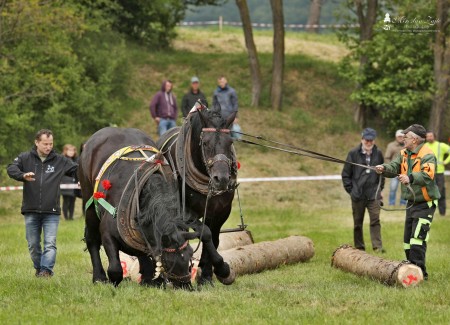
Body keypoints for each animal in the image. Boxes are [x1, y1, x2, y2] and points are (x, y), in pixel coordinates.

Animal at [79, 128, 200, 288]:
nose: (186, 286)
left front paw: (150, 279)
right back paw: (99, 277)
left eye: (190, 255)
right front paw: (112, 281)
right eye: (169, 262)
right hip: (89, 203)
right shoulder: (107, 233)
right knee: (92, 238)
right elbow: (115, 268)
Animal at [156, 103, 237, 284]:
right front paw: (222, 268)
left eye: (230, 142)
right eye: (205, 143)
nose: (222, 179)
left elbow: (214, 237)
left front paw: (207, 274)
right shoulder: (186, 212)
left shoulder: (221, 211)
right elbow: (205, 233)